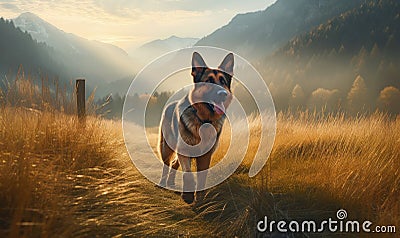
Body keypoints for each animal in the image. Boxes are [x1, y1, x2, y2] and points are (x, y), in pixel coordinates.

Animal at [159, 52, 234, 205]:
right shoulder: (184, 151)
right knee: (166, 164)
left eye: (223, 81)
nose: (223, 94)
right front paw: (188, 196)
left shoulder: (205, 157)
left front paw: (200, 201)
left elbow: (201, 179)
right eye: (208, 81)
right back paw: (163, 183)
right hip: (167, 148)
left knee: (174, 163)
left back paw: (171, 182)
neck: (204, 121)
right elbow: (188, 174)